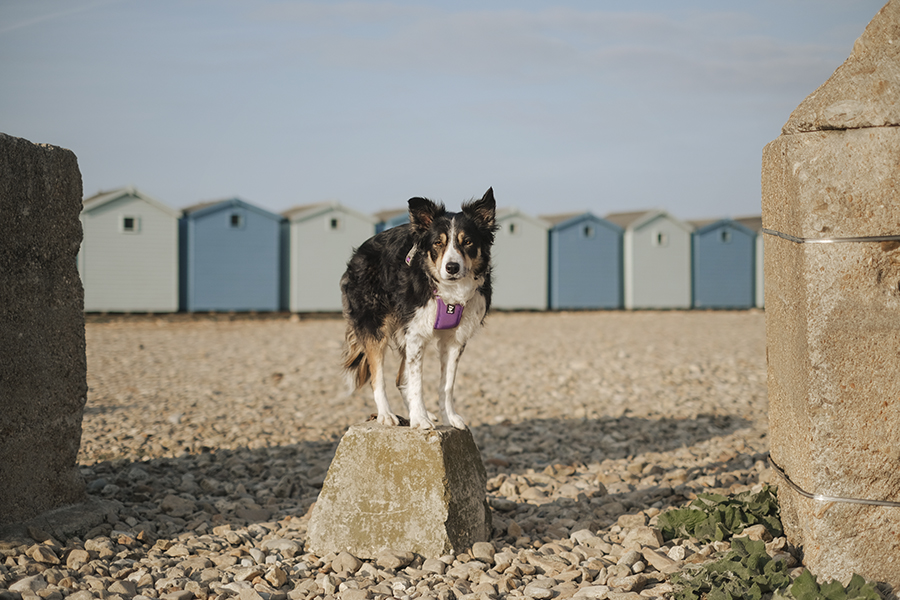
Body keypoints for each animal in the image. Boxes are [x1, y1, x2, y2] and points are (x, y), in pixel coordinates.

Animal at [342, 190, 500, 428]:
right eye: (437, 243)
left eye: (468, 242)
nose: (452, 267)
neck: (449, 290)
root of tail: (359, 251)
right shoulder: (416, 334)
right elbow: (417, 382)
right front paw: (420, 419)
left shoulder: (455, 339)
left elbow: (447, 384)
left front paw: (448, 416)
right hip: (376, 325)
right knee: (378, 375)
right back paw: (386, 414)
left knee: (400, 378)